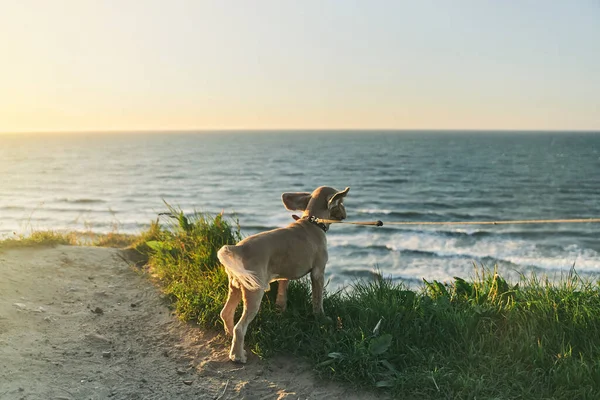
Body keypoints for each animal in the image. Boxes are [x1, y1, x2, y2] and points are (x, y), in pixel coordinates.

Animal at [217, 186, 350, 364]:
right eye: (341, 202)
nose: (345, 214)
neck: (312, 222)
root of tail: (238, 248)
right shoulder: (318, 272)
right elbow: (318, 300)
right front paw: (321, 318)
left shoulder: (284, 275)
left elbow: (282, 294)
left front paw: (281, 311)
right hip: (253, 292)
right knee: (240, 327)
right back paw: (237, 356)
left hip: (236, 286)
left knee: (226, 313)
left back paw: (231, 338)